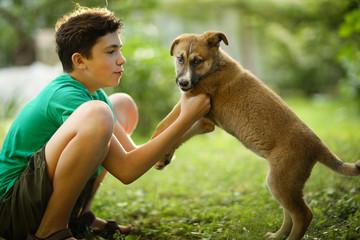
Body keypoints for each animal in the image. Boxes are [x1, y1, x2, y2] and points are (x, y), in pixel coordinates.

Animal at [150, 31, 360, 240]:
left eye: (197, 61)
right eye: (180, 59)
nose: (183, 83)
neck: (215, 67)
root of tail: (317, 144)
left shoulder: (190, 101)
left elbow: (164, 125)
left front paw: (152, 146)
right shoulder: (203, 121)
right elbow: (176, 134)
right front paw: (163, 157)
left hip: (280, 181)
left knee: (303, 214)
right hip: (286, 183)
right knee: (290, 214)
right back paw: (276, 236)